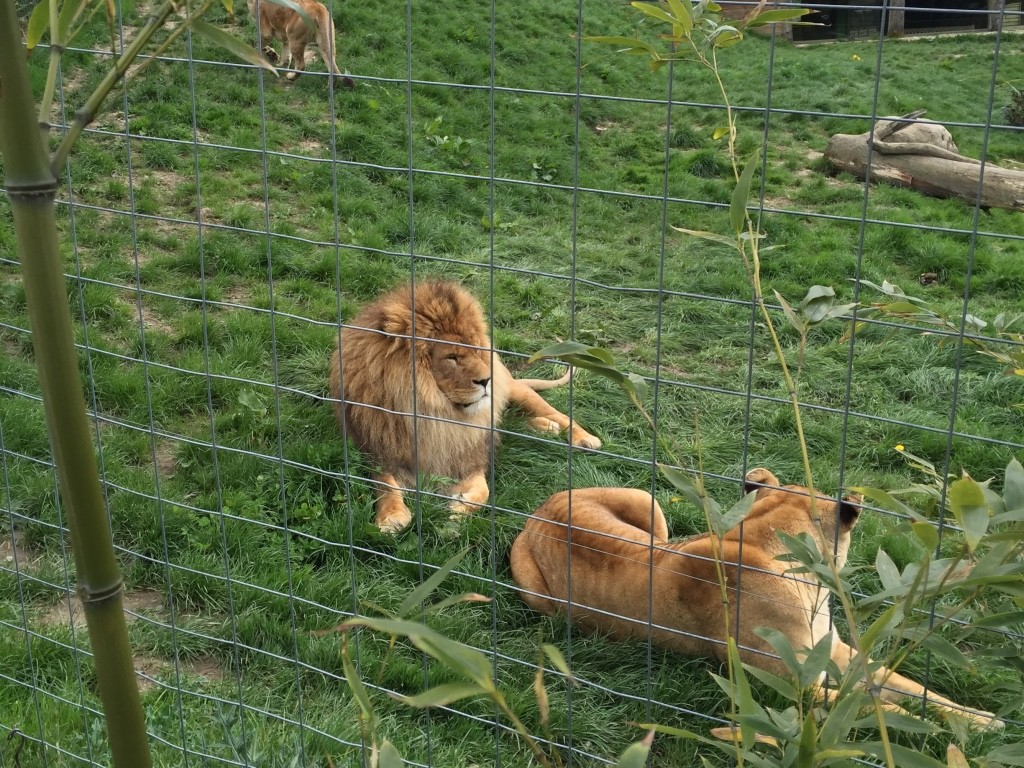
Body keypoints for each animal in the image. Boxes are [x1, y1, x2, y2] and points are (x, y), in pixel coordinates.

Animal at [327, 282, 598, 536]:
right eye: (452, 357)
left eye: (477, 349)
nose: (488, 379)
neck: (436, 416)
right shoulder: (377, 451)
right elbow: (384, 483)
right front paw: (390, 517)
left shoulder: (467, 457)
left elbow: (483, 492)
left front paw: (456, 511)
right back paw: (544, 428)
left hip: (518, 392)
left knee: (558, 414)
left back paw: (582, 438)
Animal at [507, 468, 1003, 733]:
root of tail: (538, 512)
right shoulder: (795, 687)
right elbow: (874, 704)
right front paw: (930, 731)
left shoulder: (839, 652)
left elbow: (909, 686)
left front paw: (982, 720)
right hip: (538, 596)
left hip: (650, 507)